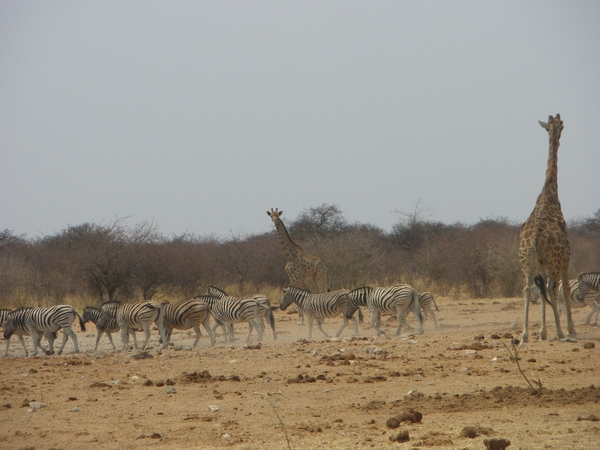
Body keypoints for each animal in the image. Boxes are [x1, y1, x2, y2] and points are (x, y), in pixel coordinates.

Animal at [516, 114, 576, 346]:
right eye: (562, 126)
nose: (558, 128)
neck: (549, 190)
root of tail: (534, 237)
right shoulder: (566, 257)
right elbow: (564, 289)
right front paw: (570, 330)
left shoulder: (541, 263)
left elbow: (541, 292)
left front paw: (542, 332)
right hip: (552, 261)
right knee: (551, 288)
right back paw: (558, 332)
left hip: (526, 261)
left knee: (527, 289)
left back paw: (524, 334)